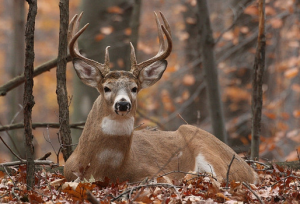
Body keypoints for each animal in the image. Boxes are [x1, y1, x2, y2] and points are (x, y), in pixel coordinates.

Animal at [63, 11, 258, 184]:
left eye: (134, 88)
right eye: (106, 88)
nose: (123, 104)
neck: (105, 168)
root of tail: (251, 170)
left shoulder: (156, 172)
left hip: (205, 145)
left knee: (219, 178)